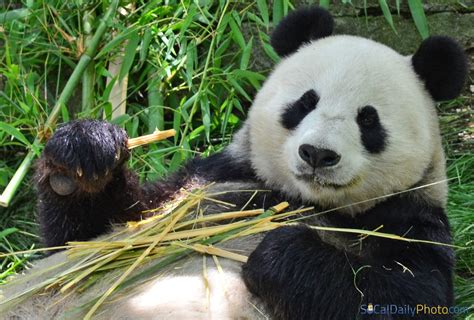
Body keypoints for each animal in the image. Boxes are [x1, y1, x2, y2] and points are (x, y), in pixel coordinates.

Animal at [0, 5, 466, 320]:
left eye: (368, 120)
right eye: (305, 102)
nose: (317, 154)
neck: (300, 198)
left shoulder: (409, 221)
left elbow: (401, 295)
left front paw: (282, 251)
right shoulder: (206, 179)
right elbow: (86, 240)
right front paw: (83, 153)